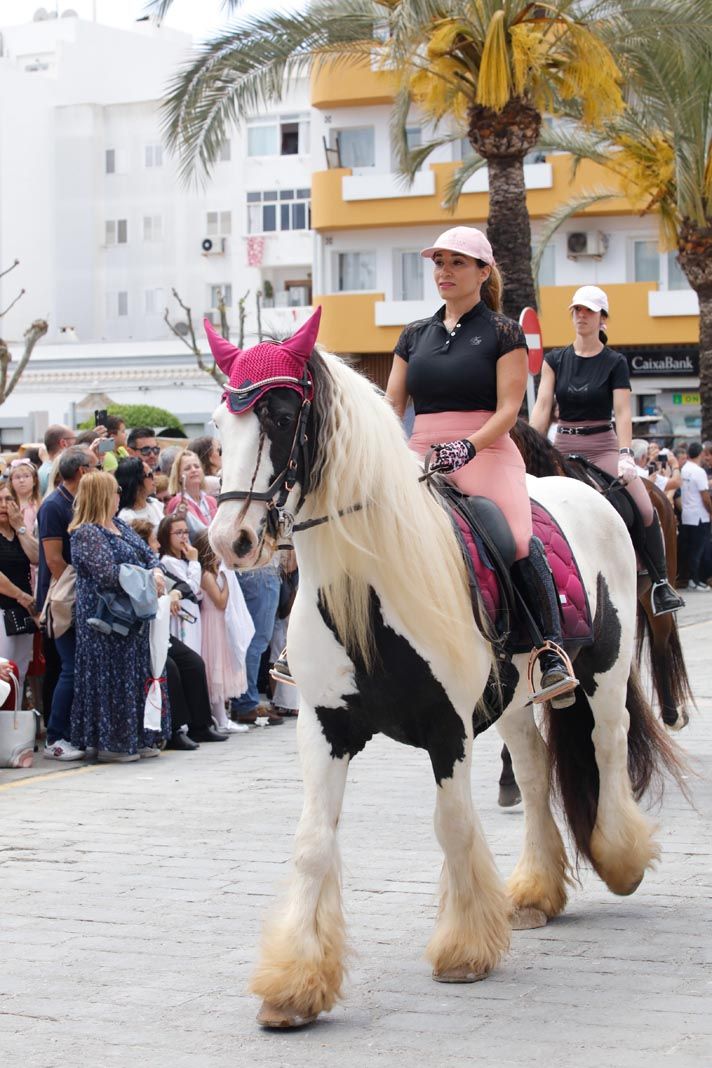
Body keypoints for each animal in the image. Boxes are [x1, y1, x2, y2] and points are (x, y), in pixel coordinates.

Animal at [209, 331, 683, 1025]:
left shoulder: (446, 728)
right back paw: (535, 892)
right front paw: (294, 985)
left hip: (605, 667)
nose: (230, 541)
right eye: (220, 427)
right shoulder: (325, 726)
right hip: (514, 698)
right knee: (535, 770)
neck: (370, 587)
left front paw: (464, 950)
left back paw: (620, 858)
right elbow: (313, 840)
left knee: (607, 742)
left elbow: (453, 825)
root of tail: (589, 493)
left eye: (281, 416)